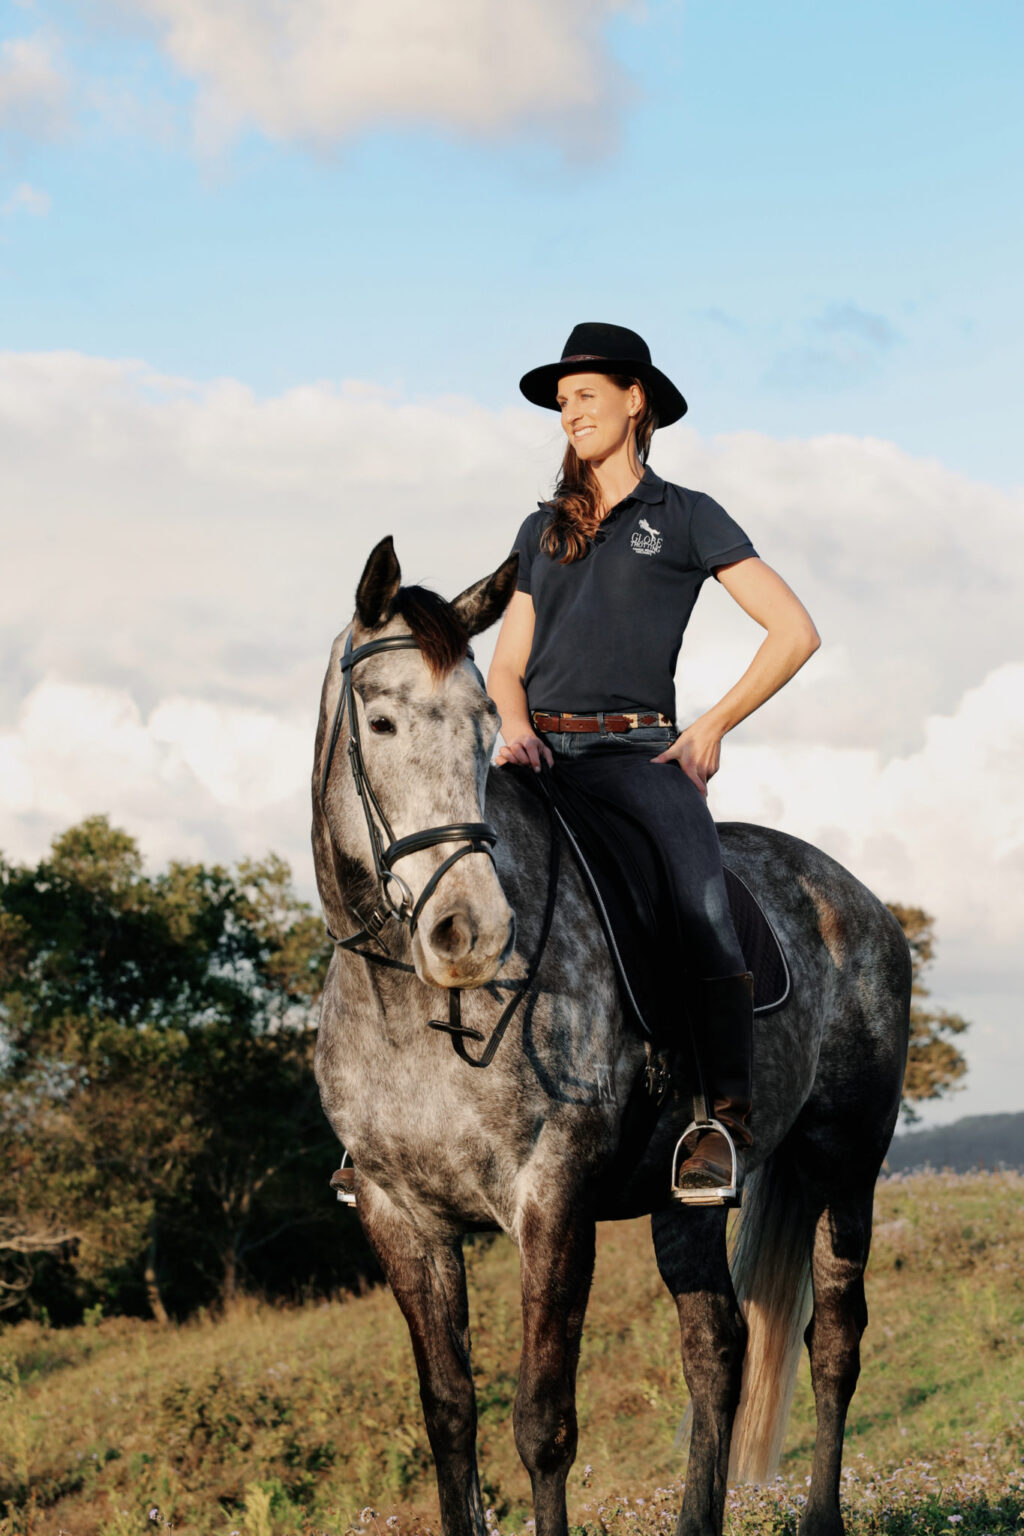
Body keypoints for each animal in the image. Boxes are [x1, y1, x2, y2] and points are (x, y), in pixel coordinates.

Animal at [311, 536, 911, 1536]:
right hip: (690, 1192)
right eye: (383, 722)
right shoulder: (401, 1220)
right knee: (717, 1348)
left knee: (834, 1339)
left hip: (845, 1162)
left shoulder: (551, 1203)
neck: (415, 1010)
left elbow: (543, 1423)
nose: (471, 934)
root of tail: (854, 896)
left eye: (484, 731)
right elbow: (450, 1417)